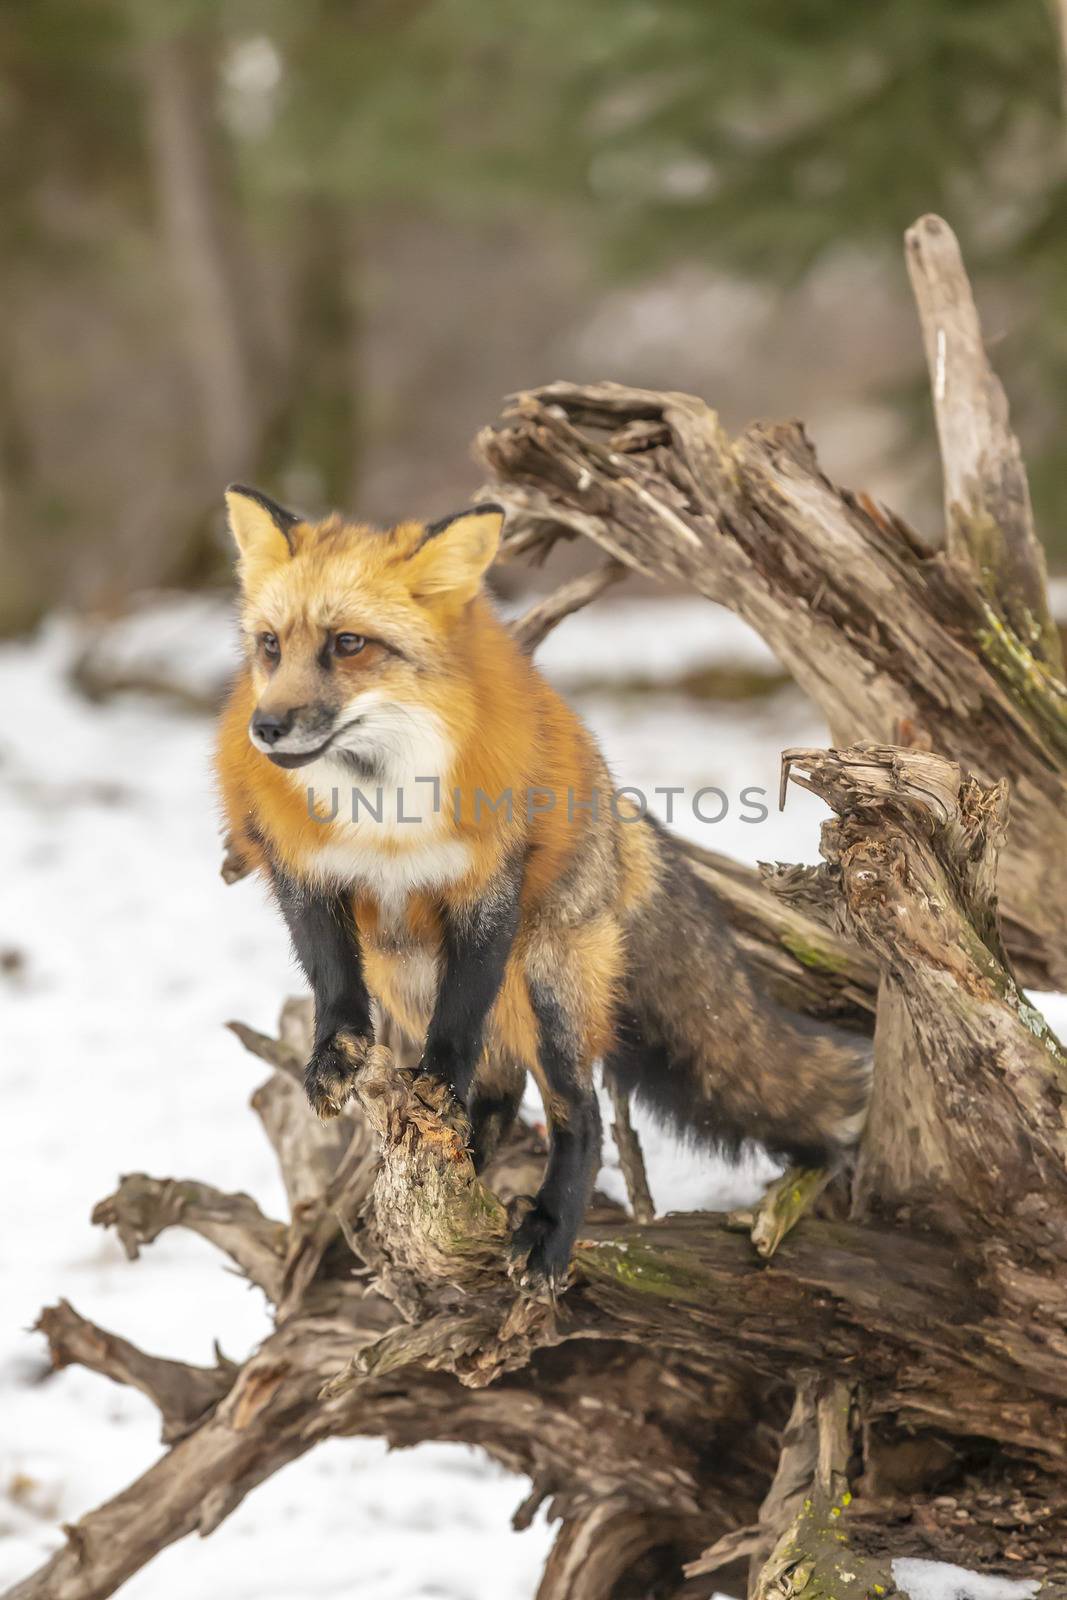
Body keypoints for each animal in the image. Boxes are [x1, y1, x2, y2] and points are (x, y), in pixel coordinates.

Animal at [214, 486, 870, 1286]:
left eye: (347, 644)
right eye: (270, 645)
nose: (267, 727)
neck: (381, 816)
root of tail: (617, 820)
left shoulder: (487, 888)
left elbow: (460, 1029)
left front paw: (437, 1084)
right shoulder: (307, 879)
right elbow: (334, 985)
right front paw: (338, 1059)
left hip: (548, 983)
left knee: (576, 1111)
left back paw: (548, 1232)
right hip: (406, 972)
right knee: (503, 1086)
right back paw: (464, 1161)